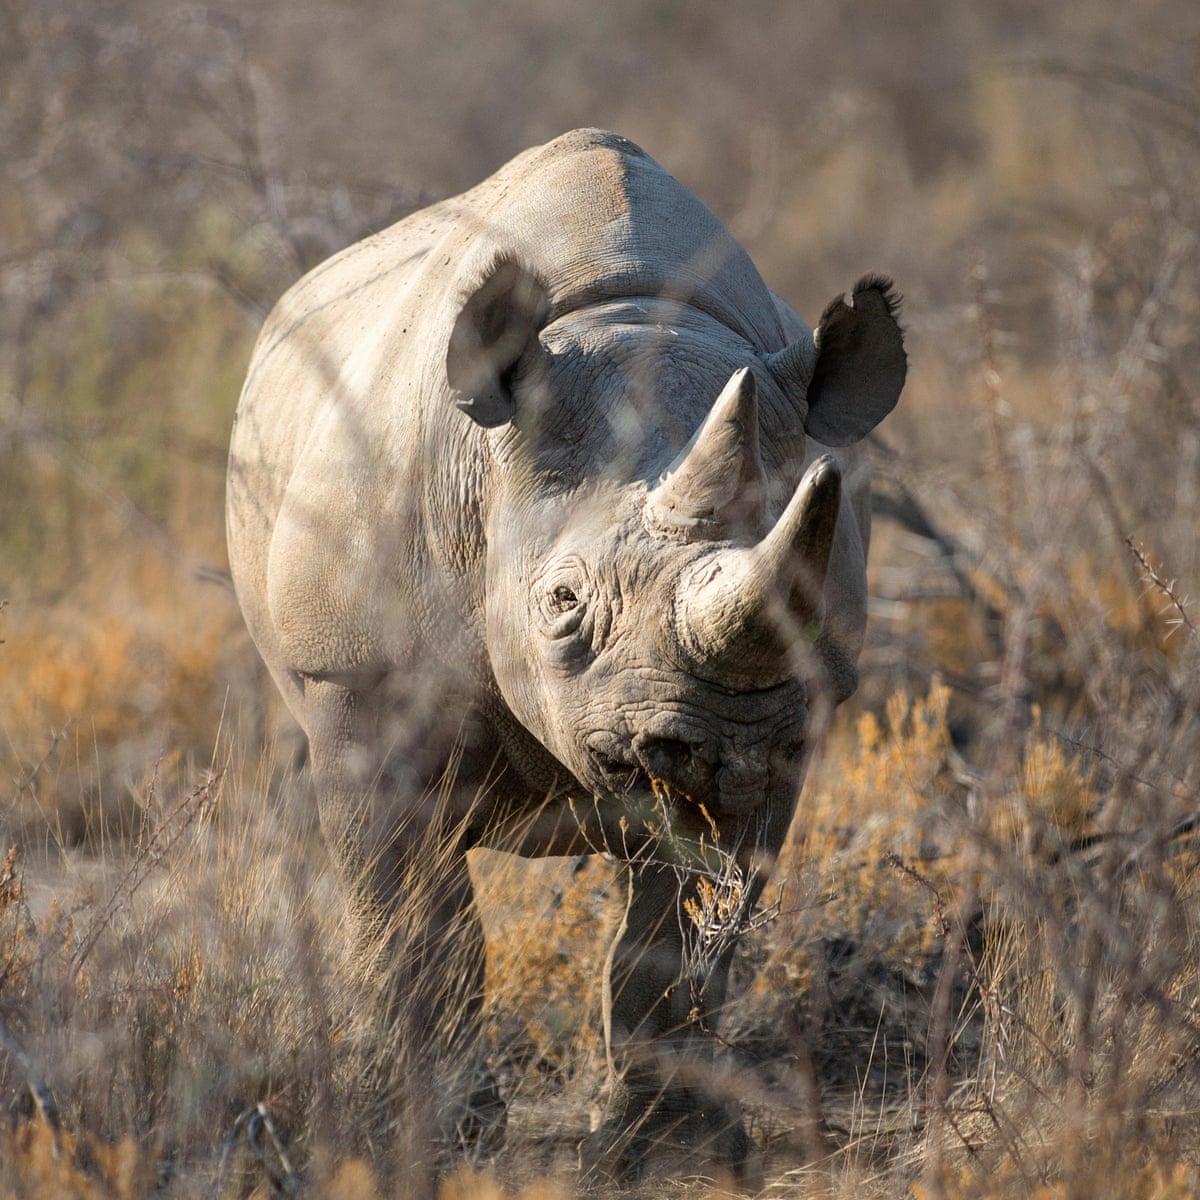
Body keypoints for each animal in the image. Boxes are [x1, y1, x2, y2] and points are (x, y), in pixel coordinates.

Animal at [226, 128, 905, 1179]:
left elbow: (677, 942)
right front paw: (438, 1141)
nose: (710, 744)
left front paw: (663, 1150)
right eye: (563, 602)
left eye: (817, 598)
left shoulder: (790, 741)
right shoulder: (351, 683)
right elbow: (422, 929)